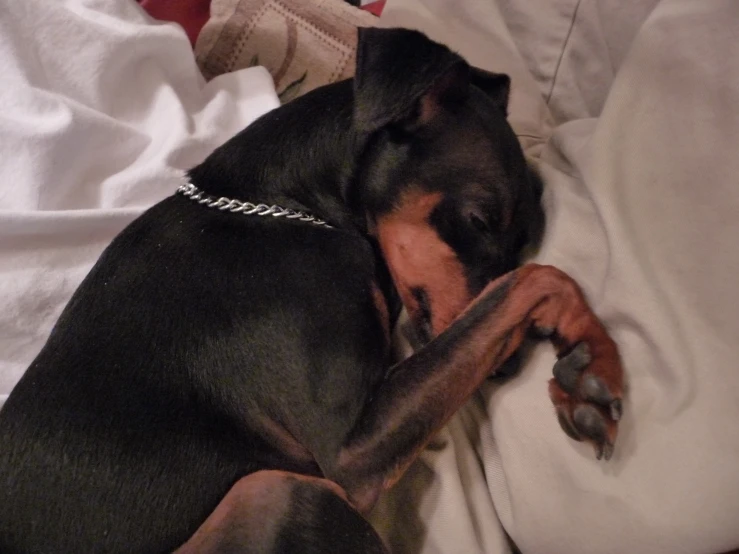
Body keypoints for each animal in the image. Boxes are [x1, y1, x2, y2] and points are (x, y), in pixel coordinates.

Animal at [0, 27, 624, 552]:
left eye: (523, 235)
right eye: (478, 221)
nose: (510, 365)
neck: (283, 205)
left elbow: (530, 280)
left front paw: (591, 368)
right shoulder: (352, 449)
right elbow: (538, 278)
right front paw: (598, 360)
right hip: (280, 491)